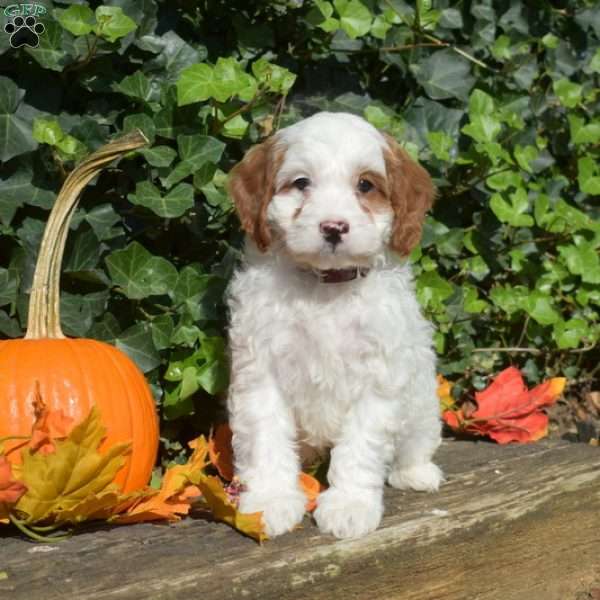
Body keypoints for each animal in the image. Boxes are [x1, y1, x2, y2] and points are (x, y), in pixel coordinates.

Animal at [225, 112, 440, 540]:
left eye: (365, 185)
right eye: (301, 183)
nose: (333, 227)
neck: (326, 285)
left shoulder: (379, 375)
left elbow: (360, 446)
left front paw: (349, 506)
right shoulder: (260, 368)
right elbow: (265, 435)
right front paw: (271, 501)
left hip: (423, 396)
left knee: (418, 439)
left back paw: (415, 472)